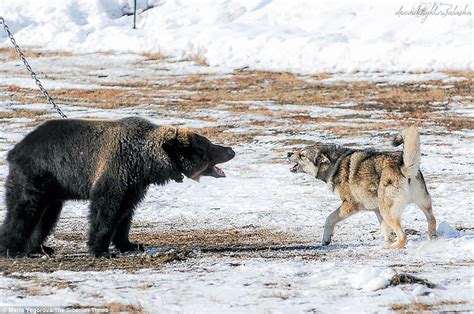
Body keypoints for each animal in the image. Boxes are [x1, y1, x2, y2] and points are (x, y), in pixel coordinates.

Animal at [0, 116, 235, 256]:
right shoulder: (115, 172)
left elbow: (125, 213)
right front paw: (100, 249)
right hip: (38, 176)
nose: (230, 150)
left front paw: (129, 243)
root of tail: (15, 150)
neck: (145, 161)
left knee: (46, 216)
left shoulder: (134, 184)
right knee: (24, 210)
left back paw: (39, 246)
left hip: (53, 189)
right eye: (205, 146)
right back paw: (11, 248)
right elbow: (105, 210)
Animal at [286, 125, 436, 248]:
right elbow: (386, 232)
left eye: (302, 155)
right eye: (299, 151)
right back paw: (431, 239)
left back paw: (389, 248)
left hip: (388, 210)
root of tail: (402, 166)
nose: (288, 153)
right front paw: (387, 240)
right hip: (420, 204)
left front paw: (326, 239)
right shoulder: (376, 210)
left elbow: (329, 218)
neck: (335, 165)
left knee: (403, 237)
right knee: (432, 220)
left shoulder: (350, 205)